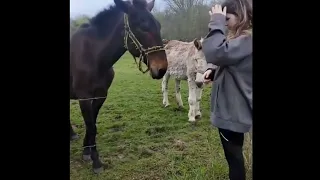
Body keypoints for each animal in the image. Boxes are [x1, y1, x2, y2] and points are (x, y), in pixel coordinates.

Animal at [69, 0, 168, 173]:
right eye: (142, 26)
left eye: (158, 25)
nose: (161, 69)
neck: (93, 56)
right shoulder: (84, 97)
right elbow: (91, 126)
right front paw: (96, 161)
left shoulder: (100, 95)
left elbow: (92, 125)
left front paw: (86, 151)